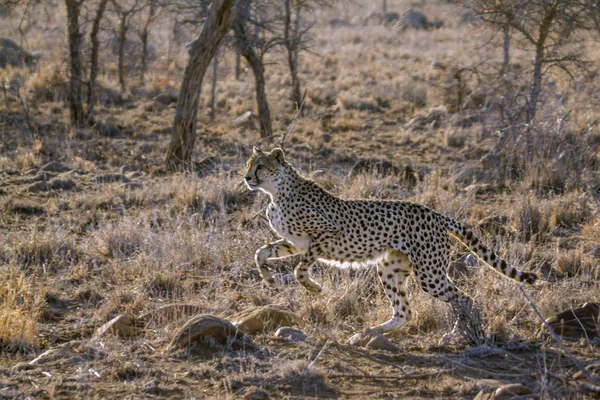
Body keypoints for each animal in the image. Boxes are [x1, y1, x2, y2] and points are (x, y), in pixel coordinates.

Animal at [244, 147, 540, 338]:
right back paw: (368, 333)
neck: (276, 193)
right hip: (389, 267)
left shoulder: (328, 233)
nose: (246, 178)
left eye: (261, 166)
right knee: (404, 311)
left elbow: (299, 268)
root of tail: (436, 214)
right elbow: (261, 252)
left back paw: (458, 333)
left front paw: (313, 287)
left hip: (429, 274)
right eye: (248, 164)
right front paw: (268, 279)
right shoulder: (295, 243)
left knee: (463, 297)